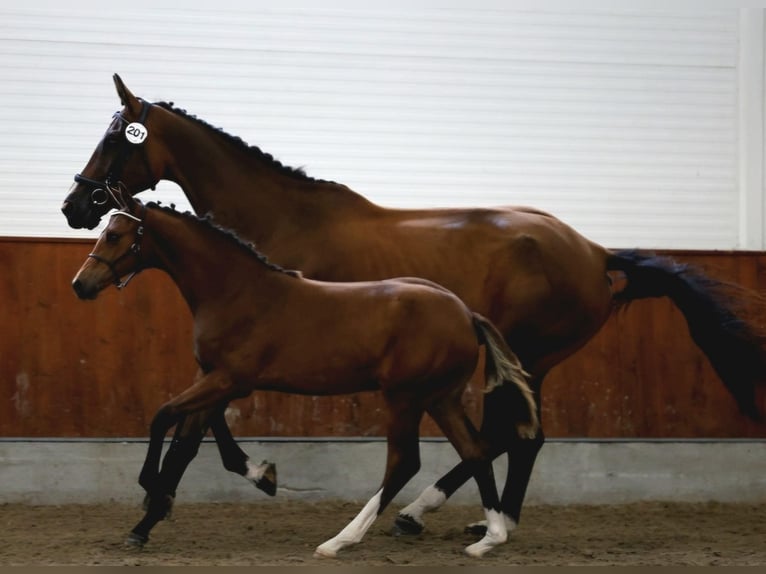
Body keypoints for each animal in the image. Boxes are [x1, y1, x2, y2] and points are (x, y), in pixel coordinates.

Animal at [72, 191, 540, 560]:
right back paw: (489, 538)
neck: (236, 292)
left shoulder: (227, 380)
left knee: (405, 462)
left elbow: (163, 418)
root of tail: (466, 314)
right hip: (440, 398)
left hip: (404, 398)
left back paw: (340, 541)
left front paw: (151, 490)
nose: (81, 284)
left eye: (114, 235)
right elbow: (187, 441)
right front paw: (146, 523)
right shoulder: (212, 378)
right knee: (475, 451)